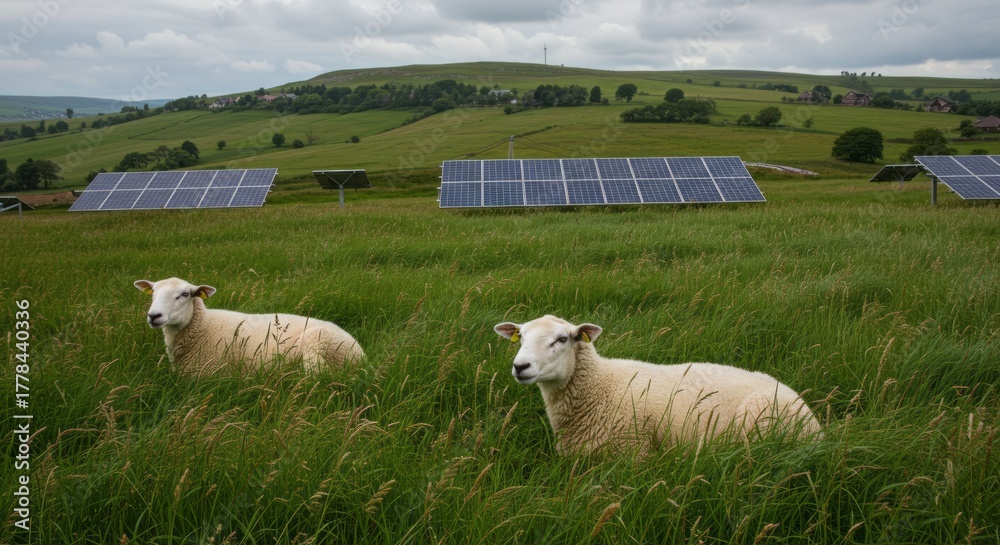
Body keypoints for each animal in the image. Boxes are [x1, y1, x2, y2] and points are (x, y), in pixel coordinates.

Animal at [134, 277, 364, 375]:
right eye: (153, 293)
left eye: (184, 294)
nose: (154, 316)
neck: (205, 326)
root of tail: (360, 353)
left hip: (317, 344)